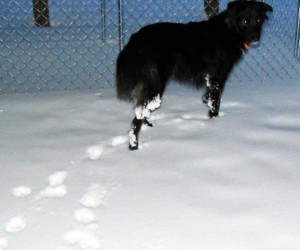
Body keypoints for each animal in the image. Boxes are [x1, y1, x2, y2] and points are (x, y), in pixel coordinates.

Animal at [116, 0, 274, 150]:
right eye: (245, 21)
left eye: (258, 19)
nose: (255, 37)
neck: (230, 30)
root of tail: (135, 40)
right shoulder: (218, 78)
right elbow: (215, 103)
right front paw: (214, 121)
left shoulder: (210, 78)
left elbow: (208, 97)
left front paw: (206, 101)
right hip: (155, 84)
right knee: (138, 117)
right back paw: (134, 145)